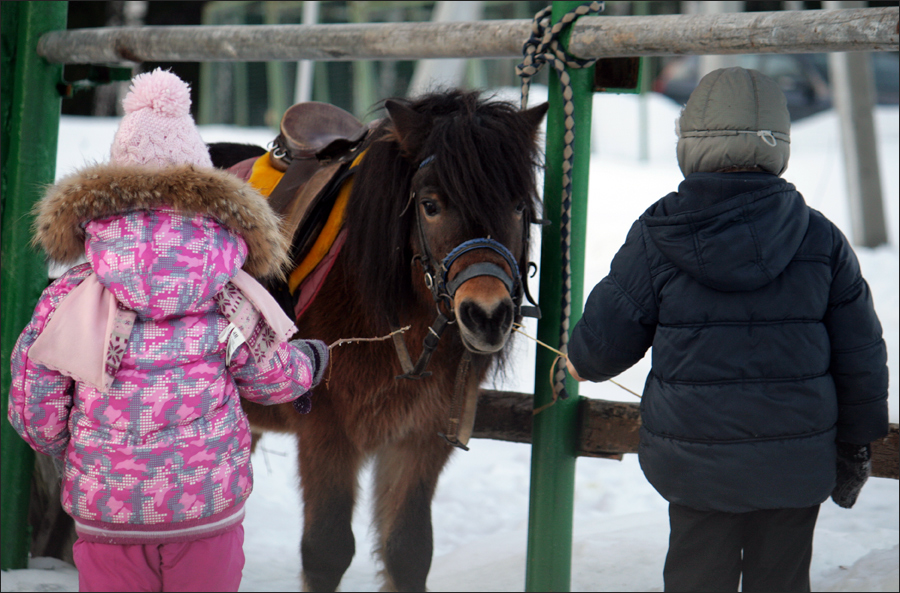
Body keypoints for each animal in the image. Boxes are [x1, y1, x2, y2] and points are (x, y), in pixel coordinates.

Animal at [216, 90, 548, 588]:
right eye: (430, 205)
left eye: (517, 206)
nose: (487, 315)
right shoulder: (327, 431)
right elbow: (327, 549)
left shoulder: (421, 436)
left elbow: (408, 550)